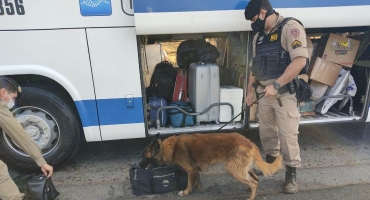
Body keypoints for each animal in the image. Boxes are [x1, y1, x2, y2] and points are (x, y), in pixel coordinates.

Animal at [139, 133, 284, 200]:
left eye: (144, 158)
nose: (138, 165)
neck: (169, 148)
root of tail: (250, 143)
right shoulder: (194, 170)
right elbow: (196, 178)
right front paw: (197, 185)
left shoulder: (190, 170)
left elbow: (188, 182)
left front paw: (186, 192)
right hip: (243, 168)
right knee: (255, 179)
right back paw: (251, 190)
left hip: (233, 169)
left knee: (254, 182)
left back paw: (251, 196)